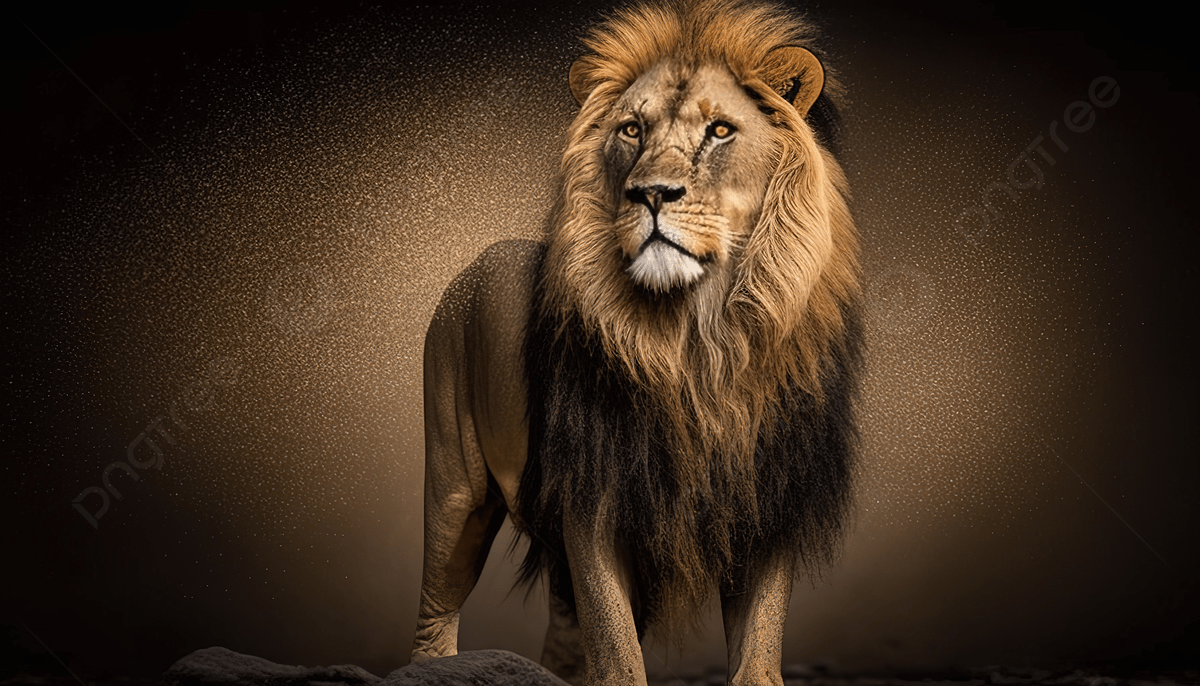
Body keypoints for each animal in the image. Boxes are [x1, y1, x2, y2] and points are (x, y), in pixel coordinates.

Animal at [410, 1, 863, 684]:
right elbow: (618, 651)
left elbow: (757, 651)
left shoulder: (770, 495)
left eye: (720, 131)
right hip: (456, 490)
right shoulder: (592, 499)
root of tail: (470, 266)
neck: (697, 339)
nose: (651, 193)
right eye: (631, 129)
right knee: (434, 611)